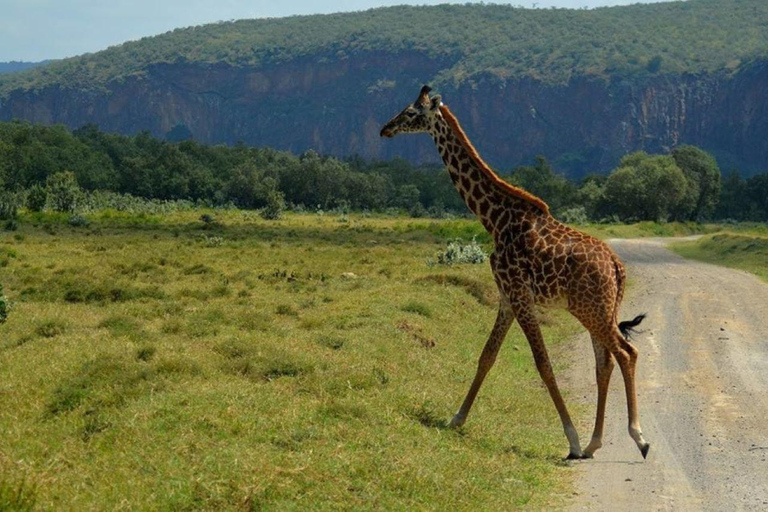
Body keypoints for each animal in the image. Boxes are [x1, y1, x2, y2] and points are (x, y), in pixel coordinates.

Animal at [378, 86, 648, 462]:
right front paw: (456, 419)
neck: (494, 219)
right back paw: (595, 442)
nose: (384, 129)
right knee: (604, 363)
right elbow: (486, 356)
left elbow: (543, 363)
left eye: (410, 113)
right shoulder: (506, 296)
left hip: (590, 310)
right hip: (601, 309)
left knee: (626, 353)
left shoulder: (520, 295)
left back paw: (637, 438)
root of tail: (617, 267)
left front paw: (571, 439)